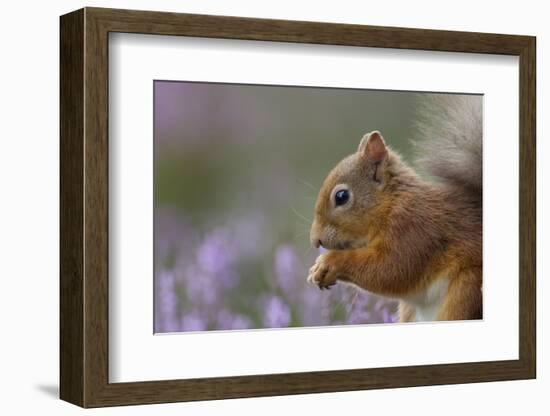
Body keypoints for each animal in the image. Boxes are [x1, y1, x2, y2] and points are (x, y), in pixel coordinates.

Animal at [310, 95, 484, 322]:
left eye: (341, 197)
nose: (315, 240)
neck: (390, 205)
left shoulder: (414, 229)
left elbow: (392, 269)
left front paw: (329, 262)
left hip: (466, 290)